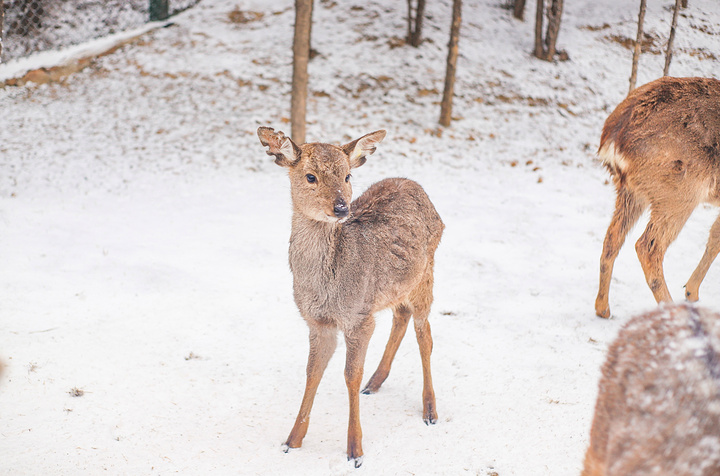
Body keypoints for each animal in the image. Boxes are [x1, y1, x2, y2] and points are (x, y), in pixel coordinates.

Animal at [256, 125, 442, 464]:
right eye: (310, 176)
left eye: (347, 176)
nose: (342, 207)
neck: (327, 288)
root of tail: (414, 184)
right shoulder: (318, 322)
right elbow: (312, 372)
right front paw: (292, 440)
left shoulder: (358, 318)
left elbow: (350, 375)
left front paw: (355, 449)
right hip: (395, 288)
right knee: (401, 314)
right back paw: (376, 383)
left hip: (426, 275)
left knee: (425, 334)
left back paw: (430, 410)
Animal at [600, 76, 720, 318]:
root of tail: (613, 139)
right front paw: (691, 292)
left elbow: (715, 235)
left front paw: (692, 291)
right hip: (679, 192)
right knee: (648, 246)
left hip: (631, 190)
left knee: (612, 238)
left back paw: (603, 309)